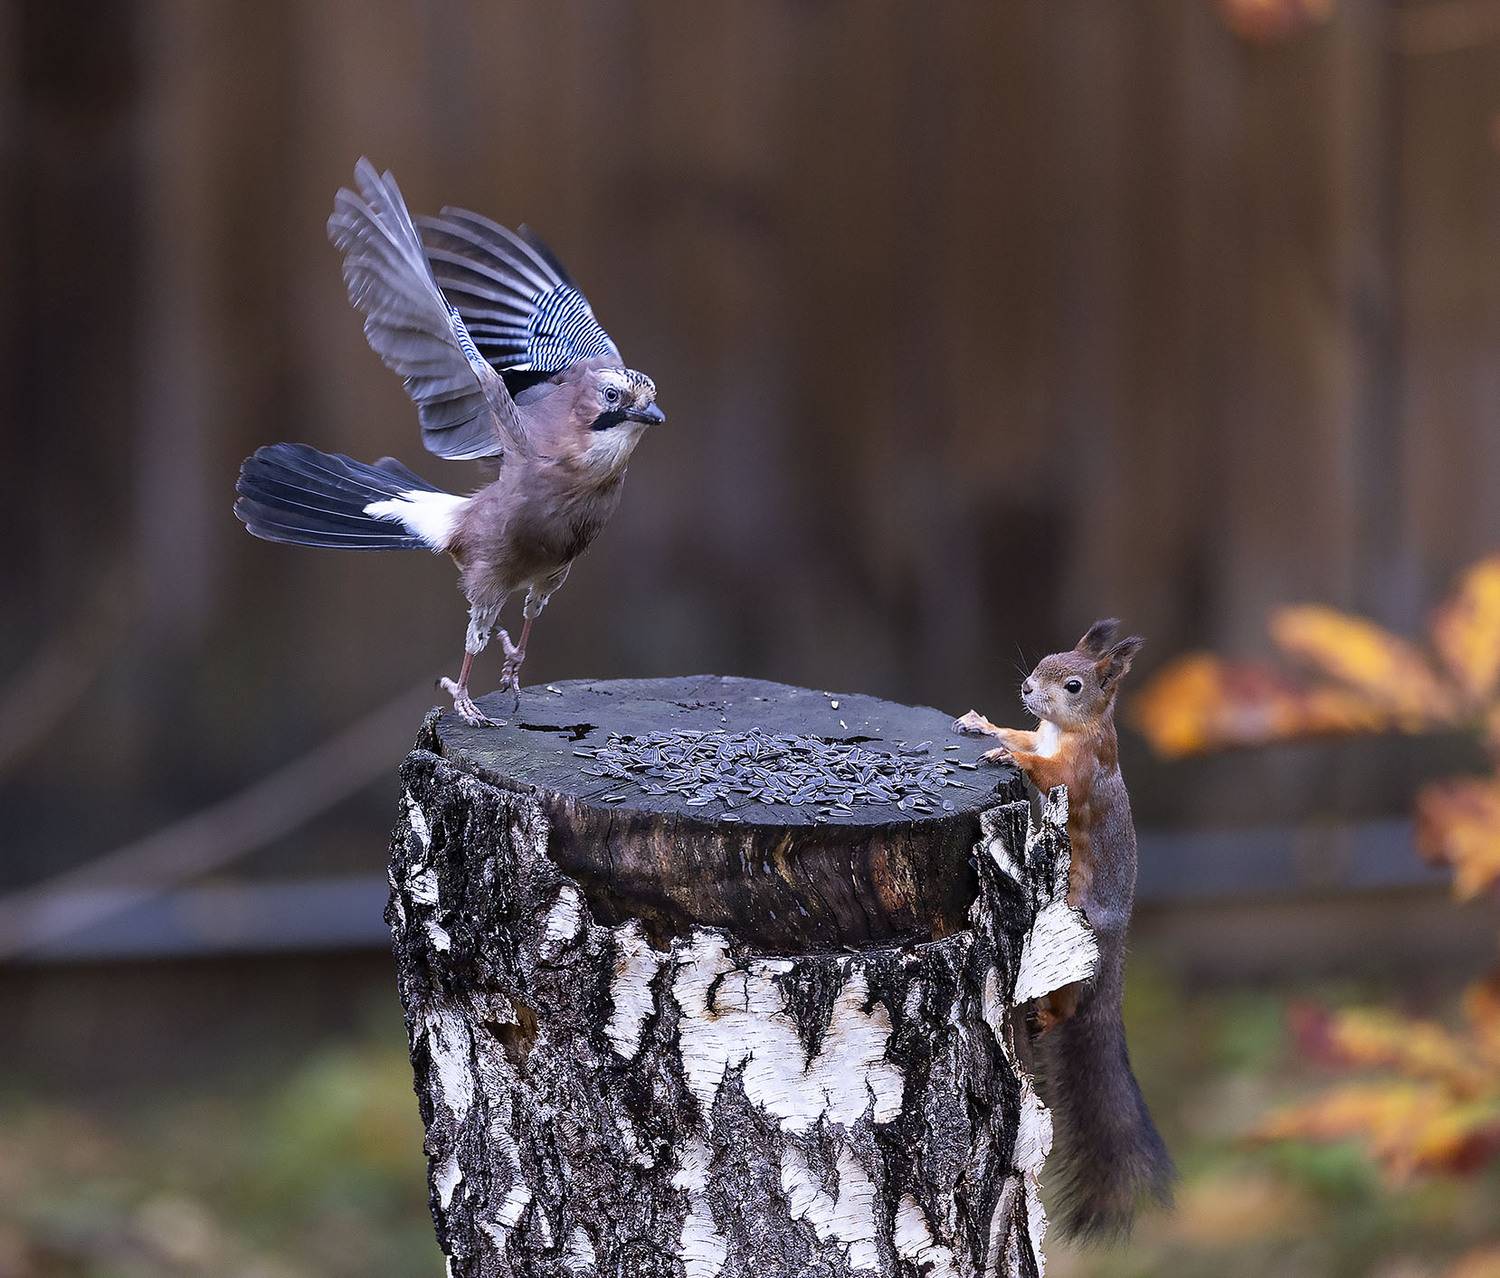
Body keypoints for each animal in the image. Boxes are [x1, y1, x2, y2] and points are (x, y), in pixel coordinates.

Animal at [955, 618, 1175, 1242]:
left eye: (1074, 685)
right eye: (1042, 661)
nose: (1028, 689)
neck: (1067, 728)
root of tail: (1115, 953)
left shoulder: (1078, 767)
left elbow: (1046, 769)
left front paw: (1004, 752)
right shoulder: (1043, 736)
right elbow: (1023, 737)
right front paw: (985, 725)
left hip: (1075, 950)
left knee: (1071, 1005)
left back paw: (1050, 1016)